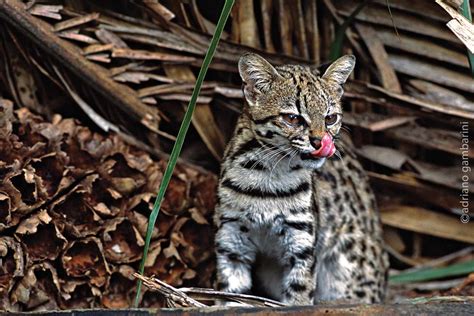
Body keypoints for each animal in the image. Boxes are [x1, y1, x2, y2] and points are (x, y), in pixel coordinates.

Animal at [215, 53, 388, 304]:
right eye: (293, 118)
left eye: (330, 118)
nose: (321, 142)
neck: (268, 177)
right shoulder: (231, 239)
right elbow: (230, 294)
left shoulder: (302, 244)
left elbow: (299, 296)